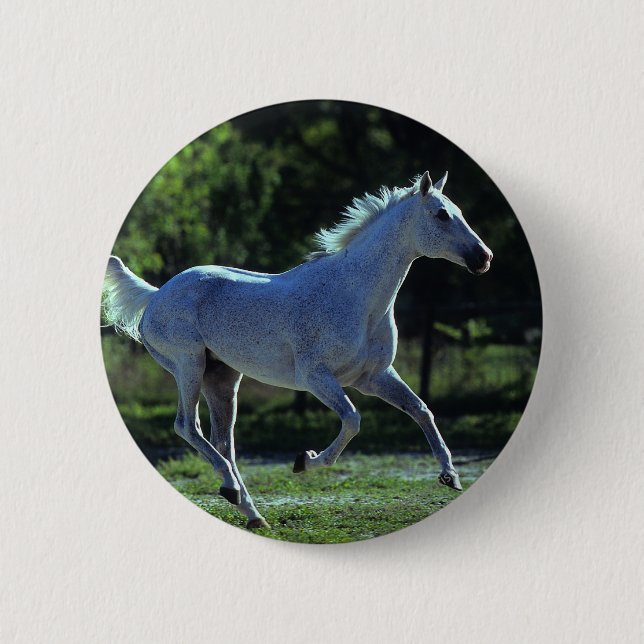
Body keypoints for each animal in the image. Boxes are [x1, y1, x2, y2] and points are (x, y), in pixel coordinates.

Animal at [102, 171, 493, 529]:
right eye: (441, 214)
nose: (484, 257)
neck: (356, 295)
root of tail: (155, 296)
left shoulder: (374, 377)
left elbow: (421, 410)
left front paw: (450, 476)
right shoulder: (316, 376)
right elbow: (353, 420)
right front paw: (305, 461)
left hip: (222, 378)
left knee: (222, 441)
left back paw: (250, 511)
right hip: (189, 365)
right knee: (187, 426)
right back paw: (233, 490)